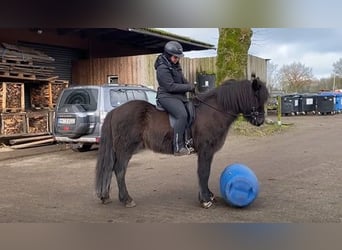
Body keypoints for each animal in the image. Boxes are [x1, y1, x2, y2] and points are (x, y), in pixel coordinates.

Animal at [95, 77, 268, 208]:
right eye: (256, 97)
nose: (260, 121)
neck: (212, 111)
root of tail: (115, 111)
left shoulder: (207, 152)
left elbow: (204, 172)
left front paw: (208, 195)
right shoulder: (205, 150)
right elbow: (204, 172)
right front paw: (205, 200)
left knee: (110, 168)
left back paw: (106, 196)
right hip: (125, 148)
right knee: (119, 170)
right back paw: (127, 199)